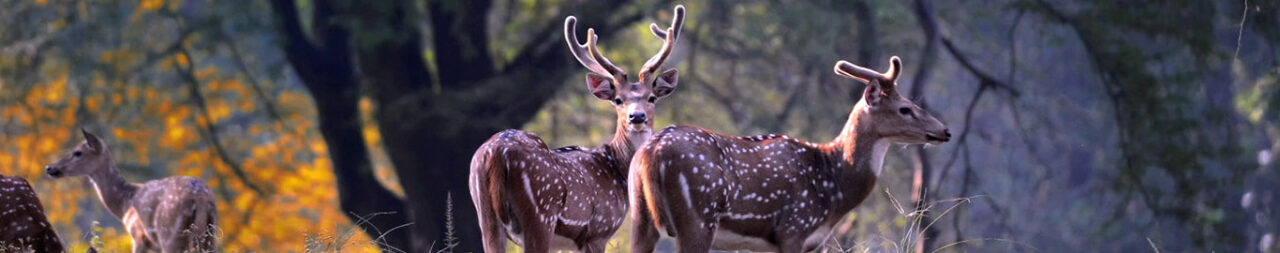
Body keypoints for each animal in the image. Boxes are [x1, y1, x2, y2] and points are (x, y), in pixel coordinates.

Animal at [45, 130, 217, 253]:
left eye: (78, 152)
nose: (49, 167)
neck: (124, 204)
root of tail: (200, 198)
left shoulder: (137, 236)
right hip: (210, 234)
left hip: (170, 233)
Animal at [471, 4, 691, 253]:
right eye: (618, 100)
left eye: (652, 98)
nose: (637, 116)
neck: (617, 168)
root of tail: (497, 153)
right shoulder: (599, 231)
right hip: (540, 214)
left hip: (485, 215)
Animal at [629, 56, 952, 251]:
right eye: (905, 108)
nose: (945, 131)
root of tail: (652, 152)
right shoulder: (794, 228)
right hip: (698, 217)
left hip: (640, 217)